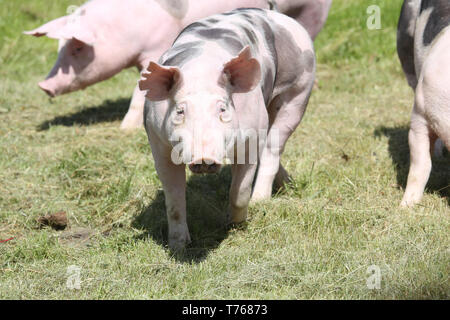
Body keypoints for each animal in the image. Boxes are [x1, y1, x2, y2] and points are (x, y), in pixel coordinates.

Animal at [24, 0, 330, 130]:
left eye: (77, 47)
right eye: (60, 48)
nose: (43, 85)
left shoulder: (156, 47)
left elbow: (138, 93)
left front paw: (125, 128)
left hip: (312, 14)